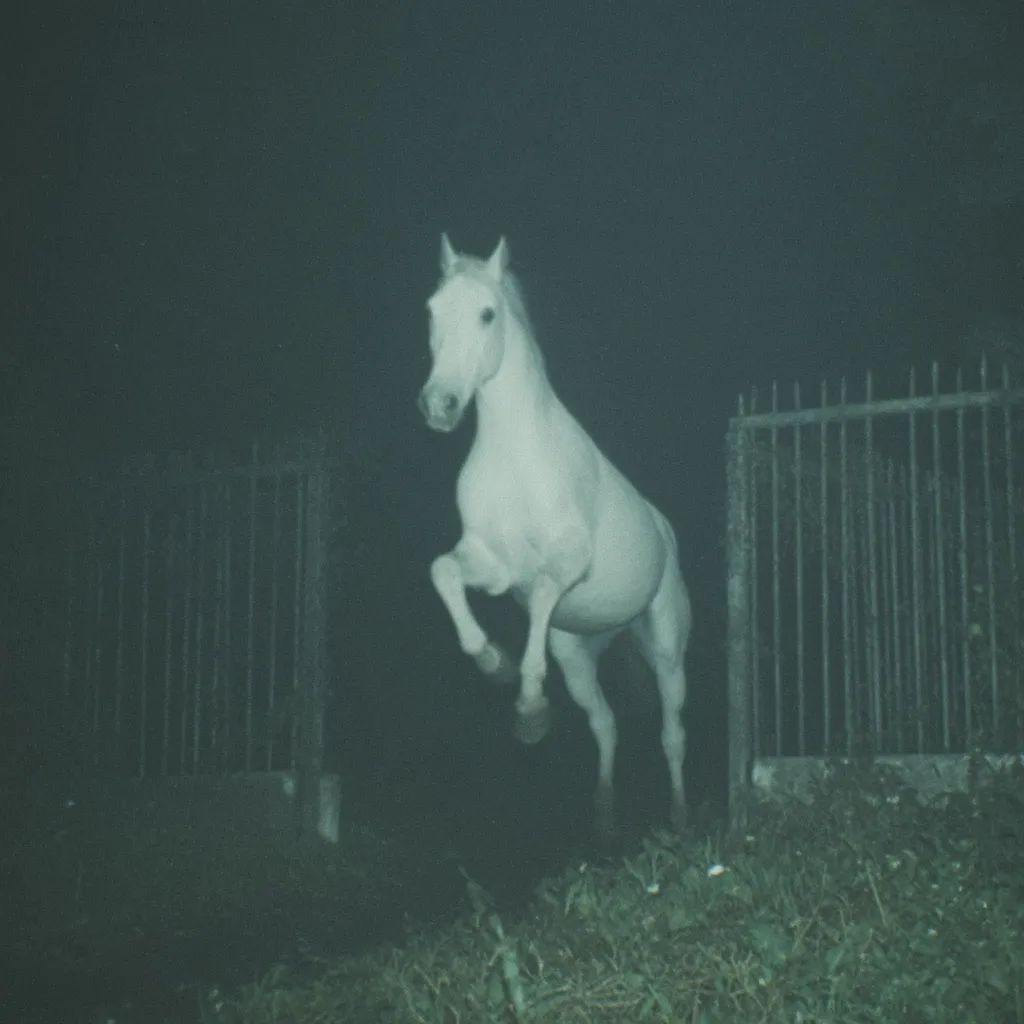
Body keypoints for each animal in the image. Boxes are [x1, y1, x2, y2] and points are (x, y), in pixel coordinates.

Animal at [418, 234, 692, 837]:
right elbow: (443, 572)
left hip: (665, 649)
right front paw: (493, 664)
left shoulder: (568, 562)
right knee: (606, 724)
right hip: (578, 655)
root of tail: (664, 529)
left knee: (672, 734)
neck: (516, 457)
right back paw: (605, 815)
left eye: (487, 313)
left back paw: (680, 814)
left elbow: (542, 593)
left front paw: (528, 708)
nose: (439, 405)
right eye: (431, 310)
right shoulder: (487, 562)